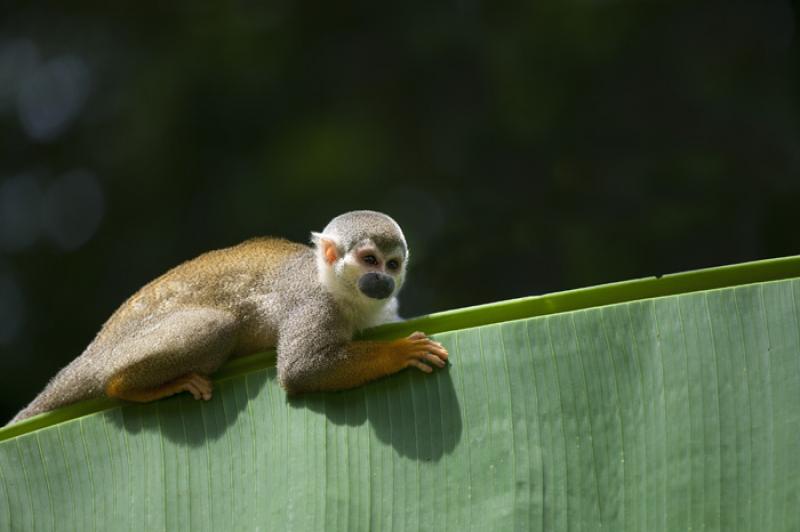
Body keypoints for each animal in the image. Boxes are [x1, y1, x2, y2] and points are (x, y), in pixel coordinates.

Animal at [6, 211, 446, 424]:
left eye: (392, 265)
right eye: (369, 260)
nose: (382, 281)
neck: (338, 286)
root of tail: (93, 352)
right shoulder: (314, 301)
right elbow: (302, 368)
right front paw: (400, 352)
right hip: (121, 353)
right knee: (218, 325)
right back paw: (126, 387)